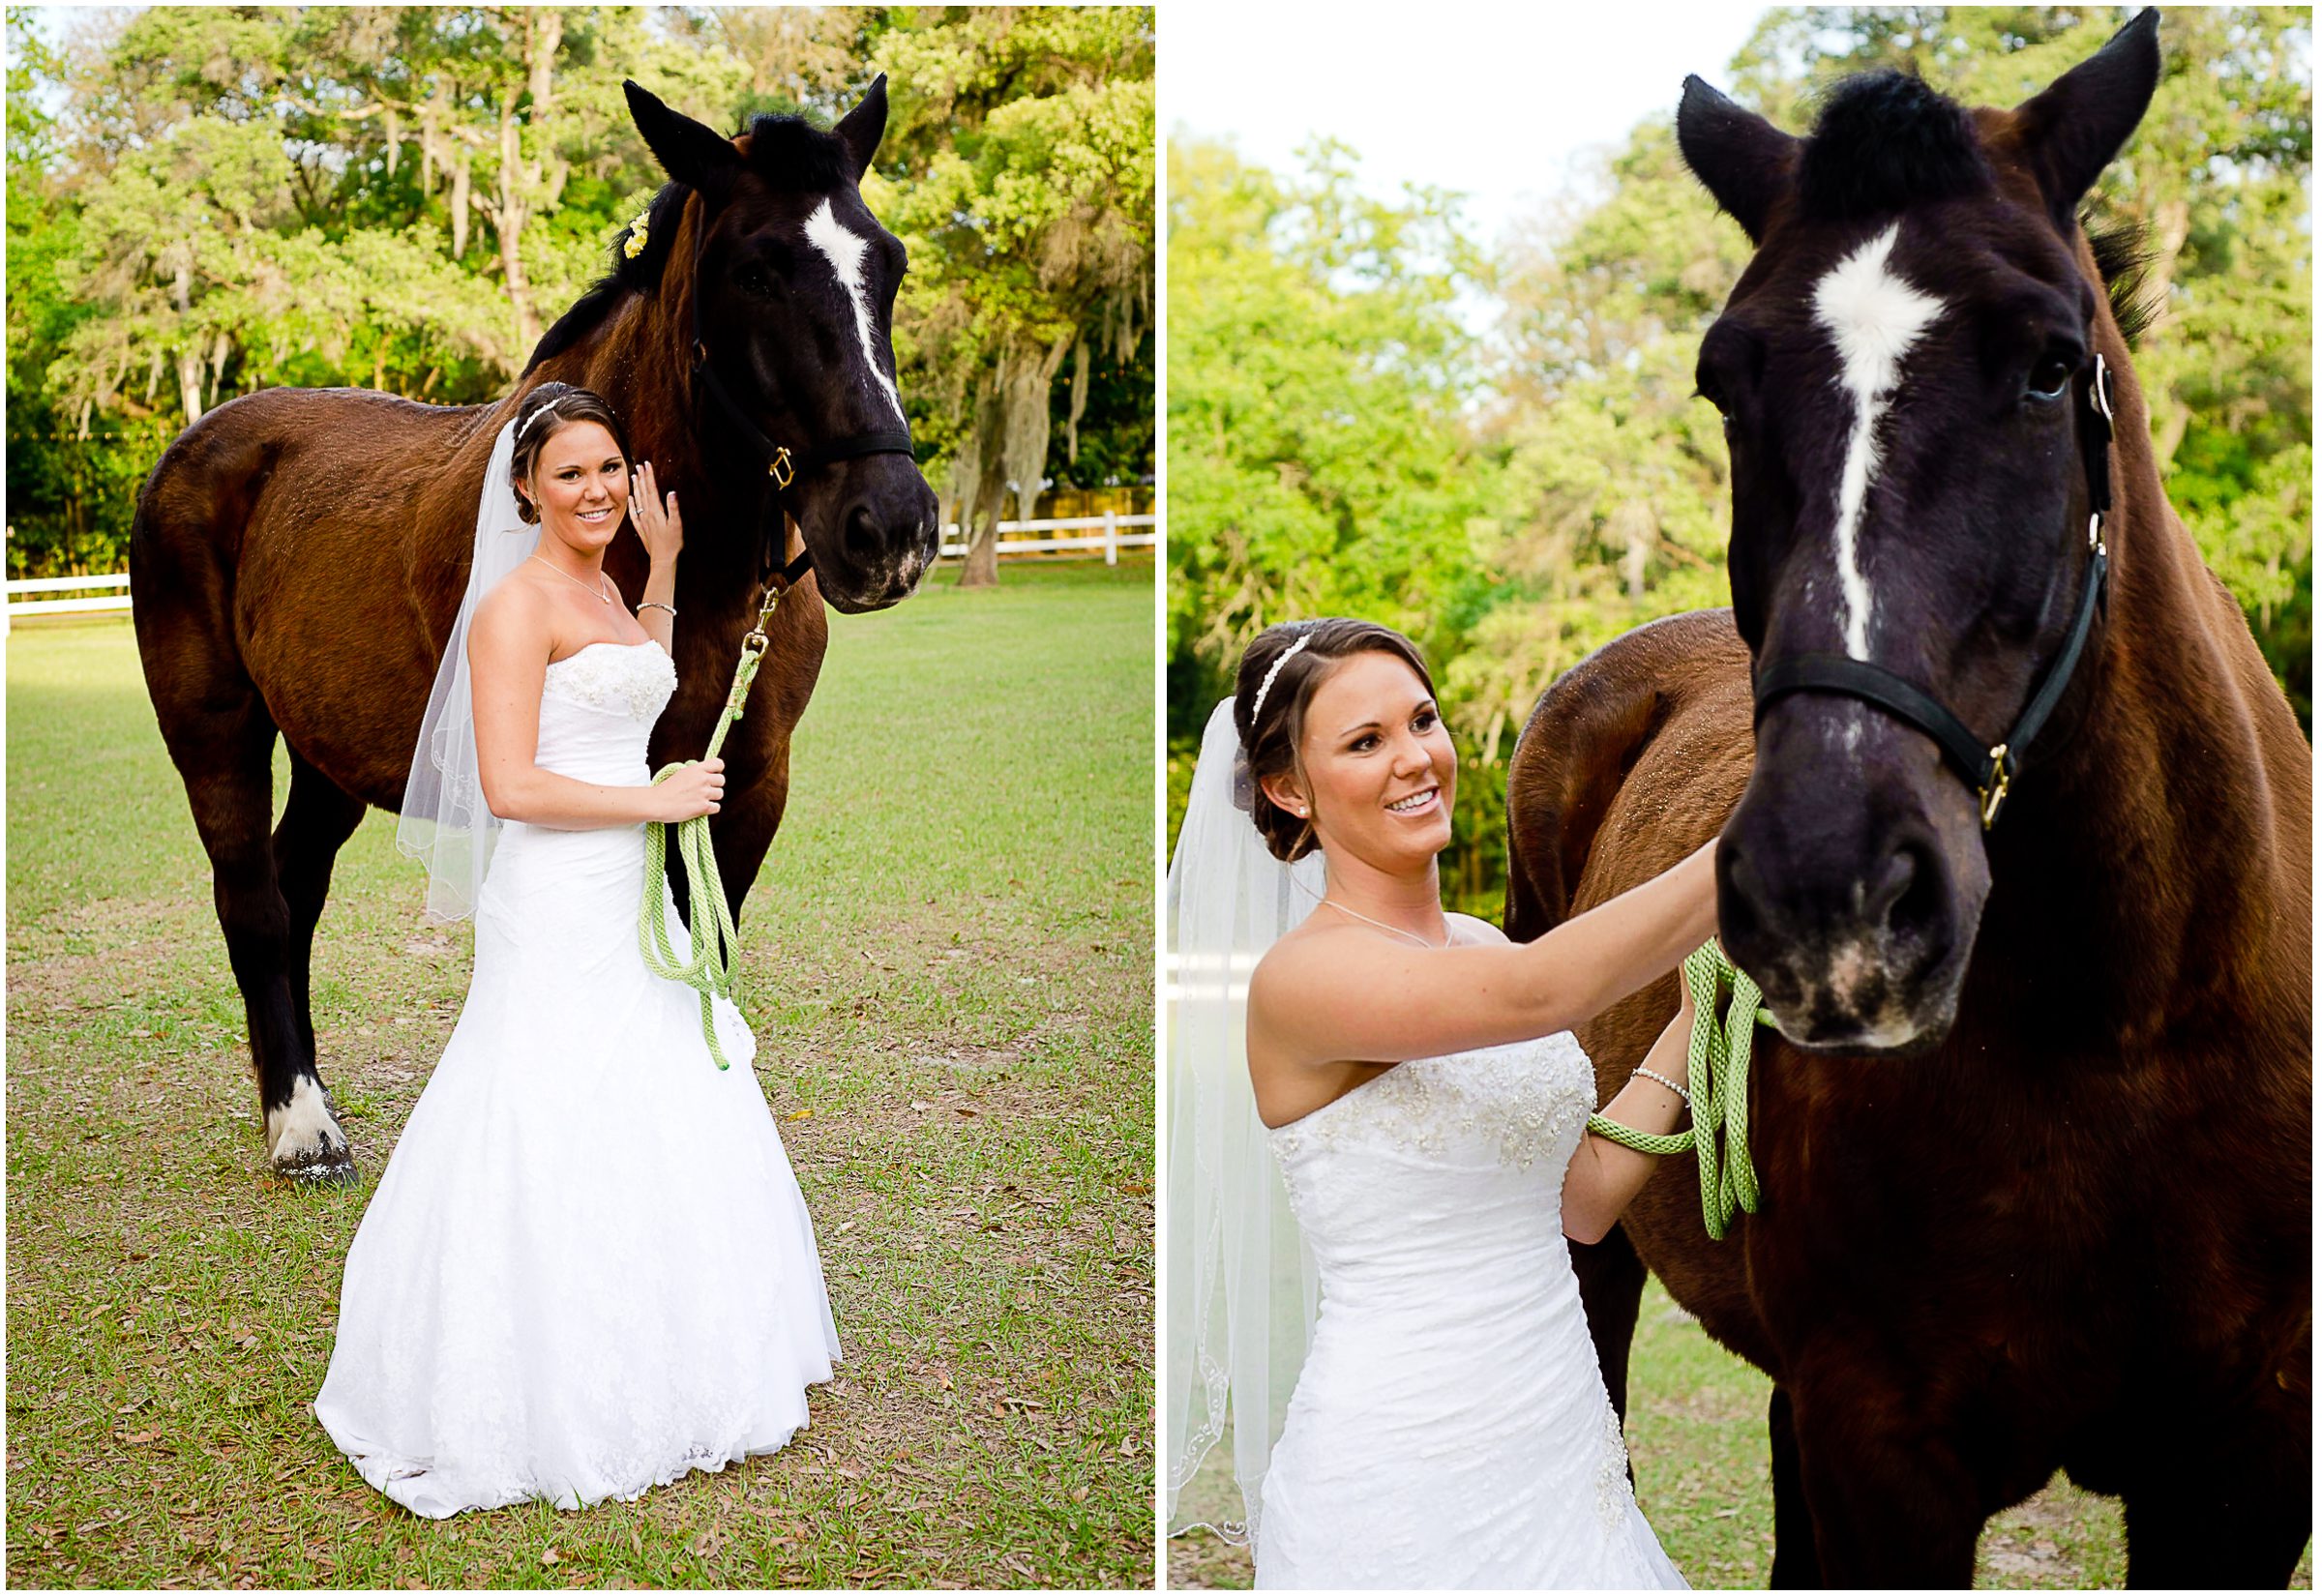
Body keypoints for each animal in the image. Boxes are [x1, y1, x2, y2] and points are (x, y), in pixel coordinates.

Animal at [129, 83, 933, 1183]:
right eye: (756, 270)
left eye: (887, 262)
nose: (890, 529)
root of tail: (198, 443)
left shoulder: (749, 779)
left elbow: (705, 947)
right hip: (214, 729)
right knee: (252, 897)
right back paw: (300, 1125)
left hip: (329, 750)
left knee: (295, 888)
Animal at [1504, 18, 2303, 1586]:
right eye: (1727, 380)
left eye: (2053, 368)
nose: (1831, 892)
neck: (2120, 1034)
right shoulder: (1888, 1452)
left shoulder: (2243, 1469)